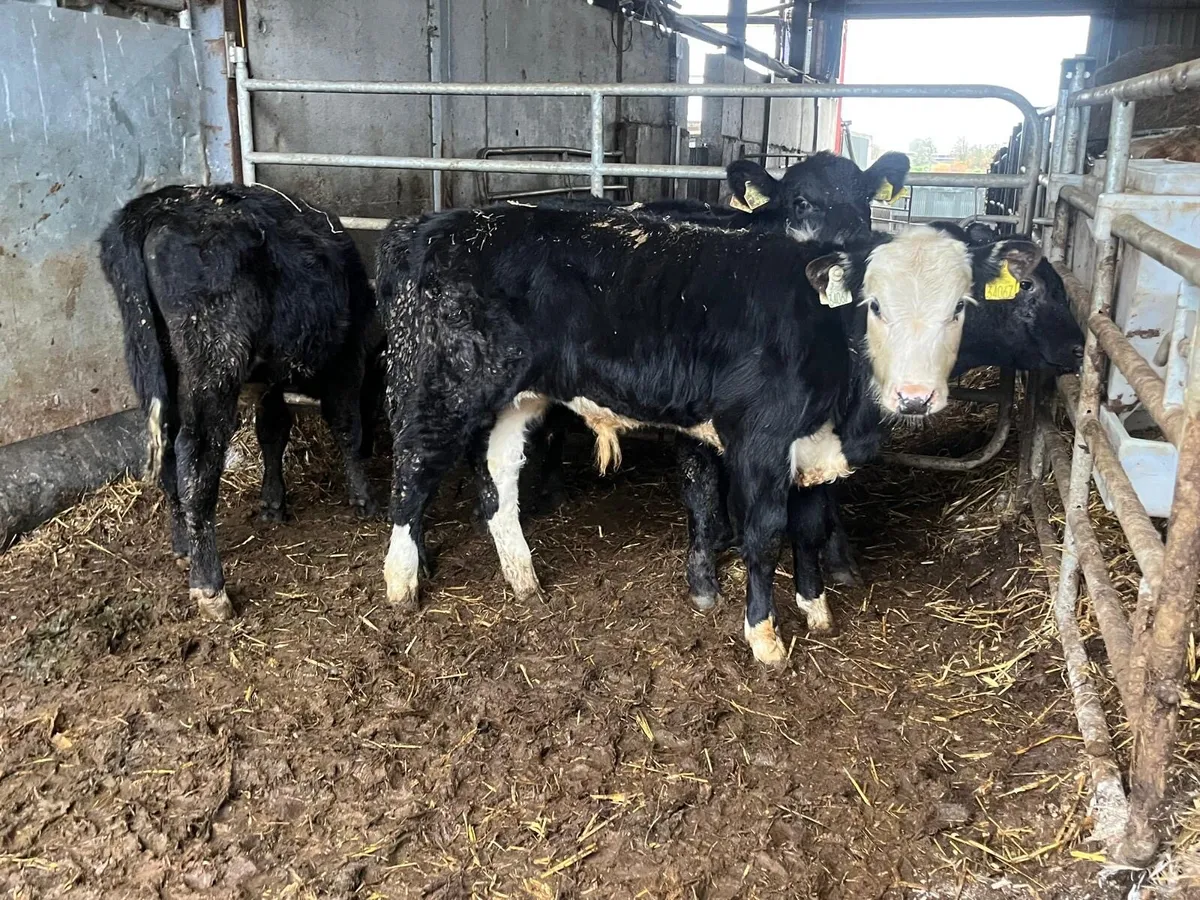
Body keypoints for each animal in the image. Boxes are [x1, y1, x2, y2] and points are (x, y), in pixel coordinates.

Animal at [99, 183, 377, 621]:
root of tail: (159, 204)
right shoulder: (346, 362)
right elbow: (346, 426)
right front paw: (363, 497)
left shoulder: (269, 379)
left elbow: (273, 433)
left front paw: (273, 503)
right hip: (215, 361)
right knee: (196, 457)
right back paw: (209, 585)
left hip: (150, 361)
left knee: (169, 454)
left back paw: (183, 546)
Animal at [378, 201, 1038, 666]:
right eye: (873, 305)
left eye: (960, 307)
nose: (915, 397)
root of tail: (427, 225)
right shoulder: (759, 443)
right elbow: (764, 535)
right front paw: (765, 637)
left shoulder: (816, 450)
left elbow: (810, 530)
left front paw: (817, 609)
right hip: (442, 386)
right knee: (413, 470)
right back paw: (402, 583)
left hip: (518, 397)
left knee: (498, 482)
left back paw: (524, 579)